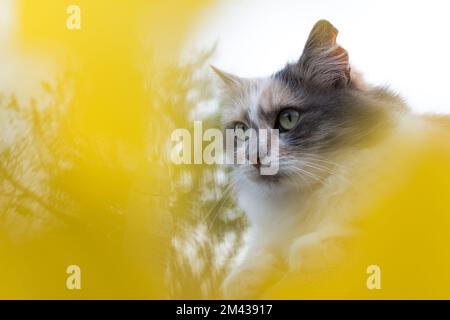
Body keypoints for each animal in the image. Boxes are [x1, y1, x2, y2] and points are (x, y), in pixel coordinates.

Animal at [212, 19, 450, 300]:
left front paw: (311, 248)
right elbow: (259, 254)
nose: (254, 157)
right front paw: (244, 277)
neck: (306, 199)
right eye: (241, 131)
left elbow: (363, 230)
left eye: (288, 118)